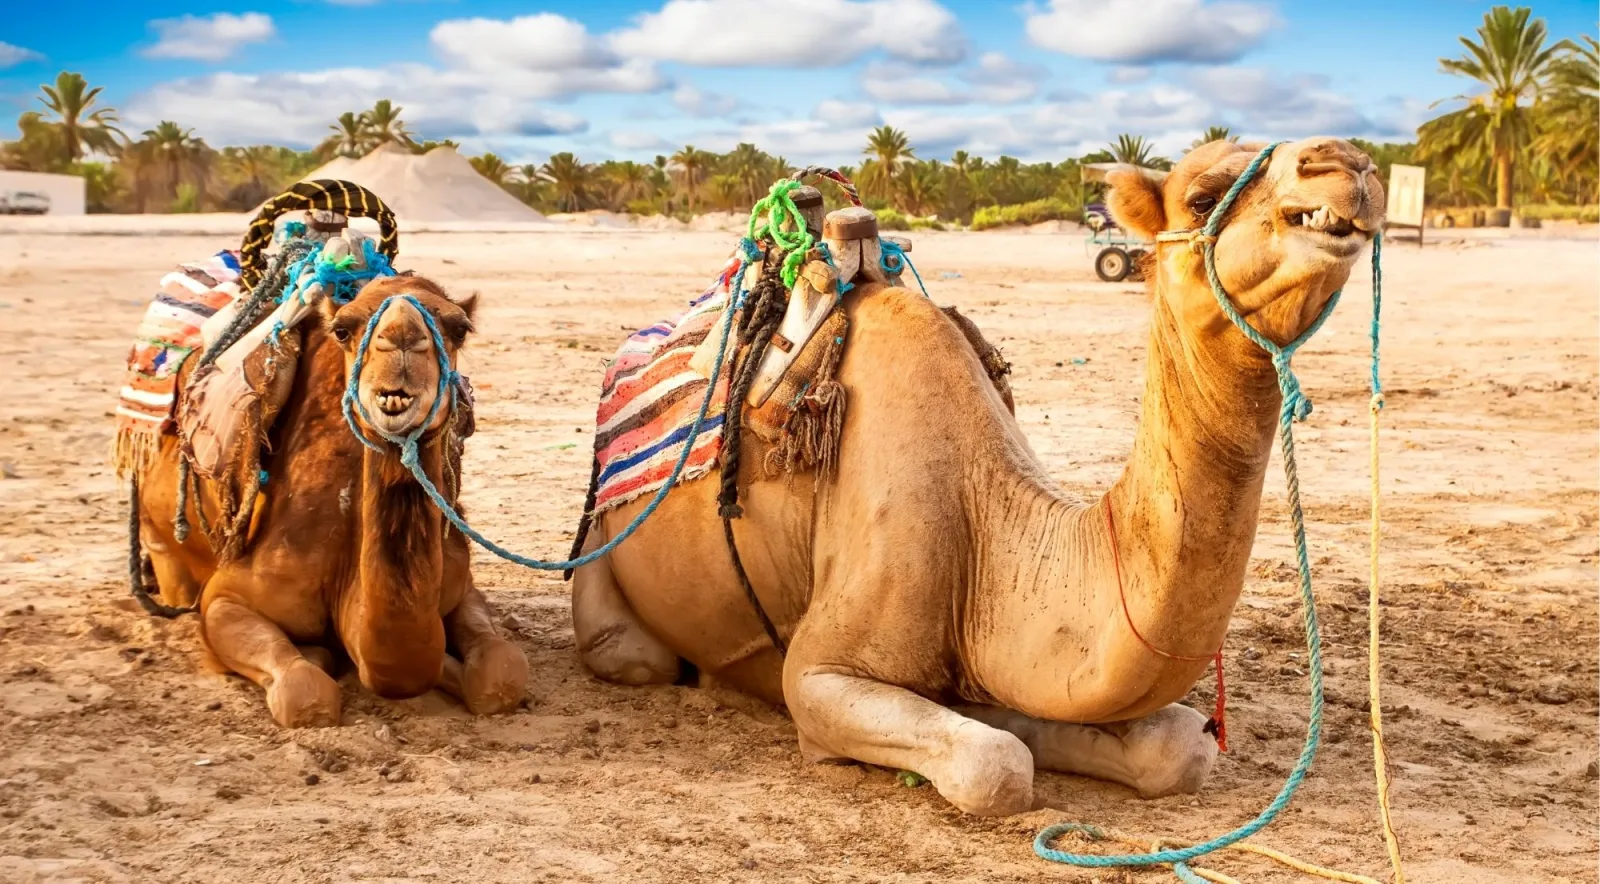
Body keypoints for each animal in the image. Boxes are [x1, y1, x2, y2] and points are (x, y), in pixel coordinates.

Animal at [136, 274, 528, 728]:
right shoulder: (225, 598)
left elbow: (500, 676)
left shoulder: (462, 587)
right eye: (342, 329)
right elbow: (306, 694)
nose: (402, 338)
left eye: (460, 328)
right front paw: (320, 656)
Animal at [572, 137, 1385, 815]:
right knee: (630, 652)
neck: (988, 518)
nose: (1347, 163)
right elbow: (996, 766)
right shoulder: (819, 673)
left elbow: (1176, 747)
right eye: (1202, 195)